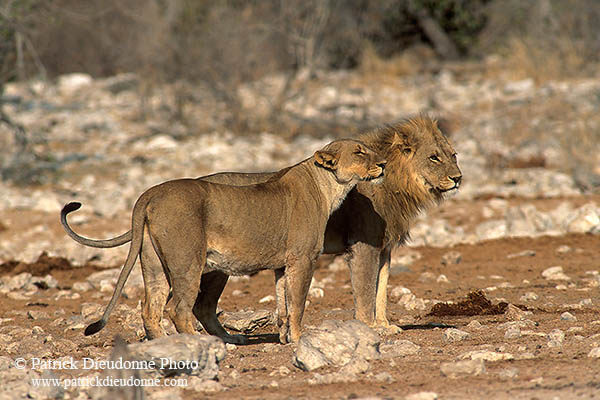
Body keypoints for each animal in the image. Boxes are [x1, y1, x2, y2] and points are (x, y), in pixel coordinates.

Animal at [63, 139, 386, 342]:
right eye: (359, 153)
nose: (383, 164)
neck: (327, 186)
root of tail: (149, 193)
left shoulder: (283, 265)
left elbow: (282, 302)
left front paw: (284, 337)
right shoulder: (303, 258)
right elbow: (297, 303)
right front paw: (298, 338)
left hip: (154, 264)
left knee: (151, 307)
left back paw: (164, 345)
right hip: (189, 262)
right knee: (179, 308)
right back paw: (198, 345)